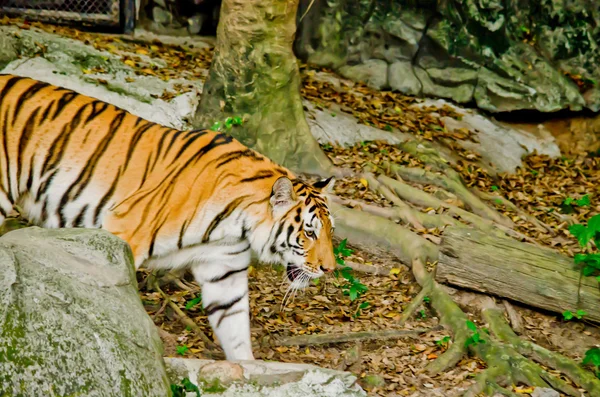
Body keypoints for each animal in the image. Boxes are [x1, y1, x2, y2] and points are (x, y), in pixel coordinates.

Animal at [0, 72, 338, 360]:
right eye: (309, 232)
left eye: (330, 232)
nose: (330, 269)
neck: (238, 223)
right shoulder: (123, 232)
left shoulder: (224, 269)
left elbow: (235, 327)